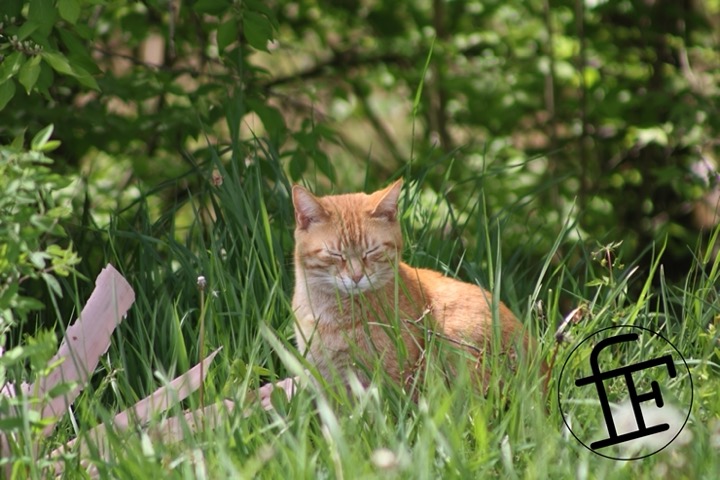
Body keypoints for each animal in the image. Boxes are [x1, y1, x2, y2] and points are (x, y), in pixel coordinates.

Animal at [284, 178, 544, 396]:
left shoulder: (390, 377)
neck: (331, 314)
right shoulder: (325, 377)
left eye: (372, 251)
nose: (357, 276)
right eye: (336, 254)